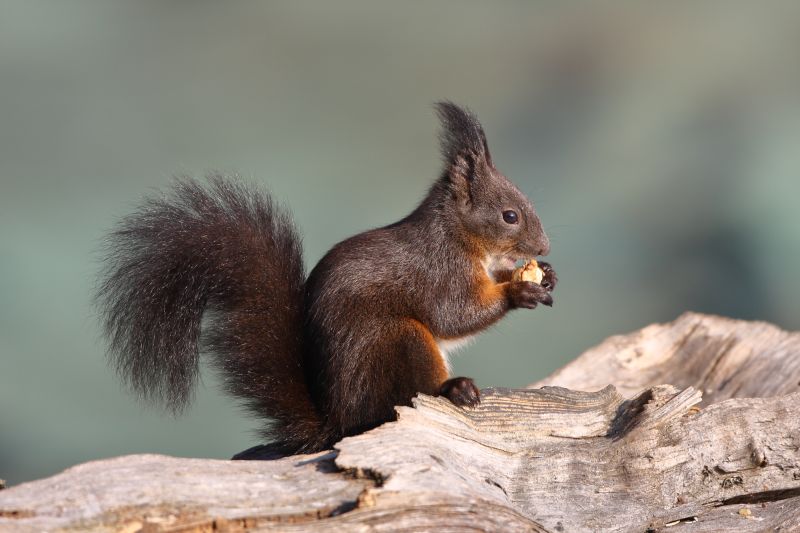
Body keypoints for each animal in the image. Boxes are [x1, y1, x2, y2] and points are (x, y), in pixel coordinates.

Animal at [96, 102, 556, 454]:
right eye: (510, 216)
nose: (545, 247)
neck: (459, 238)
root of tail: (338, 422)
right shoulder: (439, 271)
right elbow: (454, 315)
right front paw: (519, 290)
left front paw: (544, 277)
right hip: (398, 341)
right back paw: (452, 388)